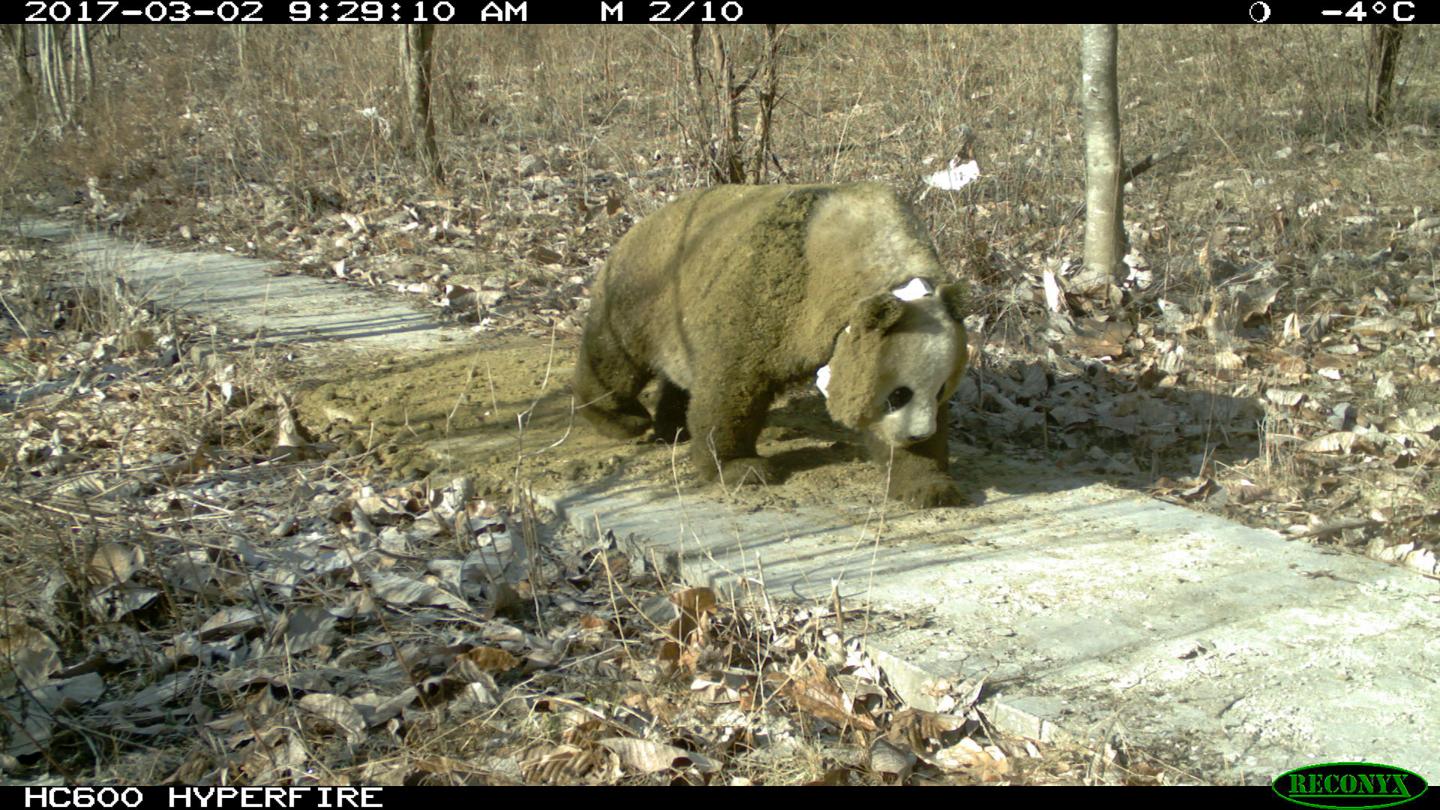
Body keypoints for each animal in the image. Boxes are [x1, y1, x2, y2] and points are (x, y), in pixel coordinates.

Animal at [573, 182, 970, 508]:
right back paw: (622, 418)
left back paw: (673, 426)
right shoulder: (772, 291)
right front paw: (740, 468)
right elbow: (731, 383)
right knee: (616, 358)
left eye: (940, 391)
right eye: (898, 394)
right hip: (643, 294)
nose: (918, 435)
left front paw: (929, 484)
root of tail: (640, 224)